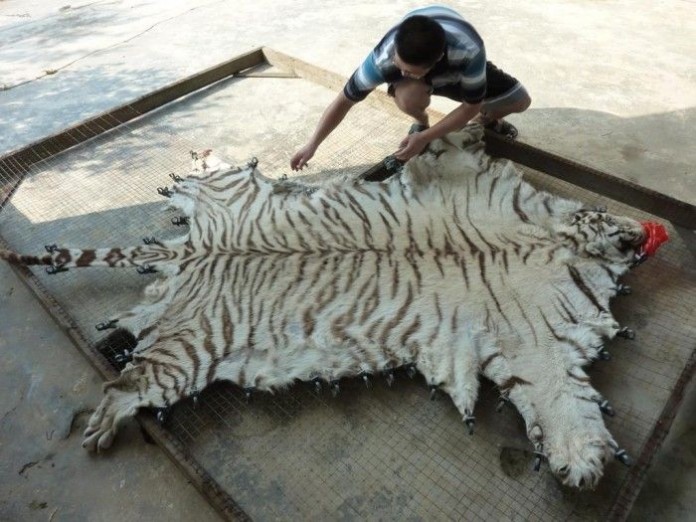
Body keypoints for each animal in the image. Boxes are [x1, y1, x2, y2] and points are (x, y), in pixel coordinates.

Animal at [0, 124, 653, 489]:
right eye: (603, 221)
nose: (643, 234)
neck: (553, 241)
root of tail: (196, 247)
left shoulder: (537, 347)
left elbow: (565, 404)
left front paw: (580, 459)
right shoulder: (531, 338)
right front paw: (584, 462)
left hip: (190, 321)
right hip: (184, 353)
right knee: (122, 388)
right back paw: (101, 428)